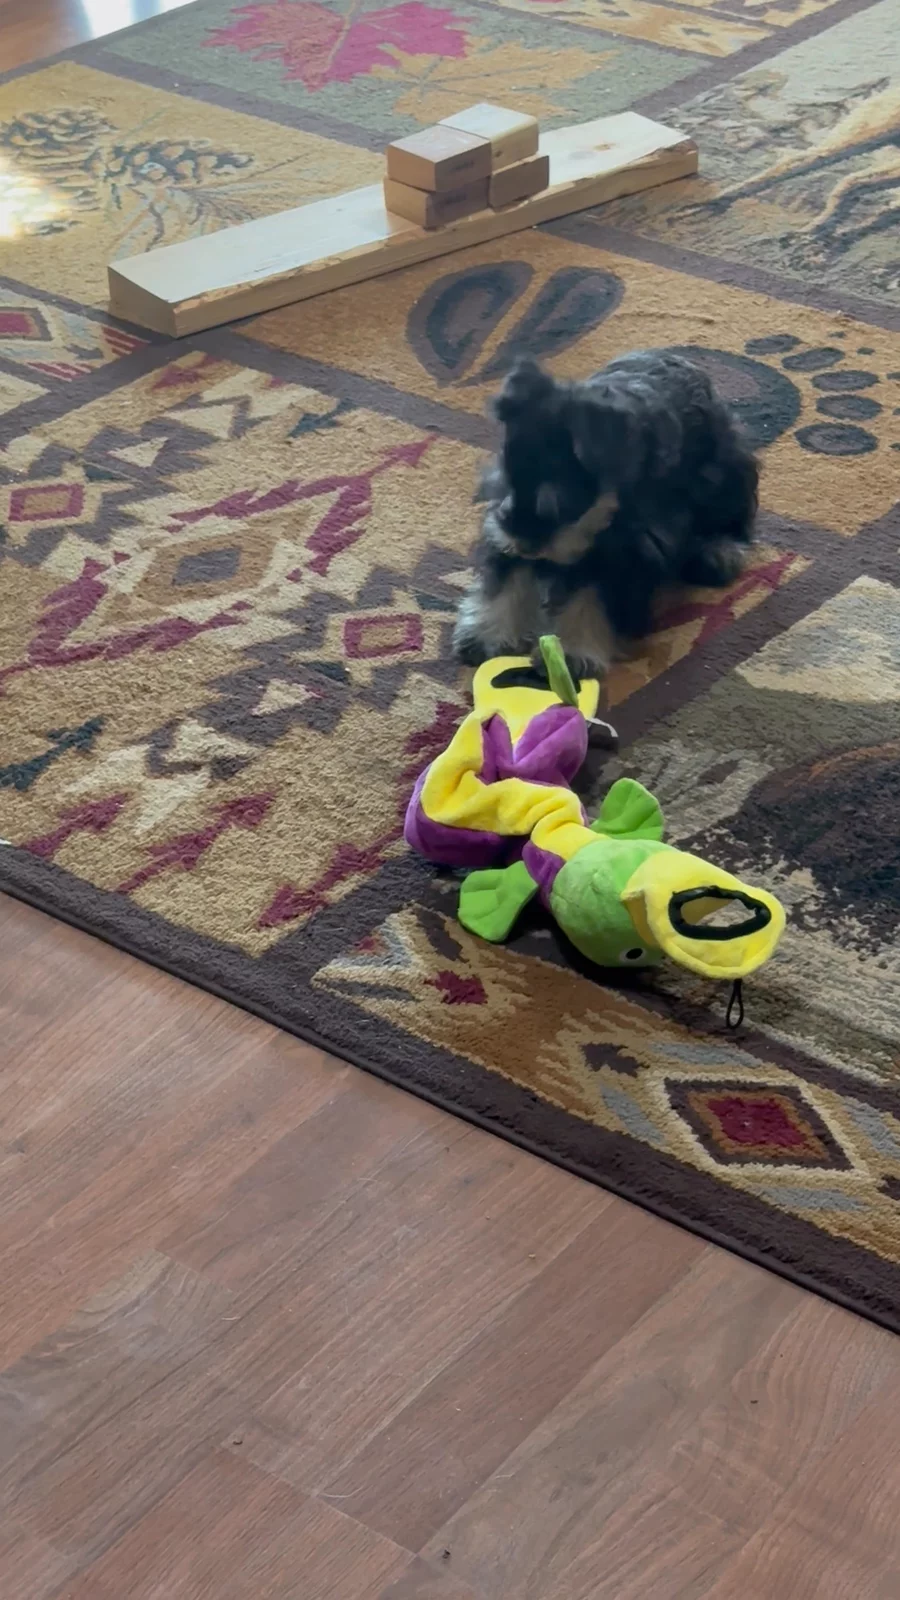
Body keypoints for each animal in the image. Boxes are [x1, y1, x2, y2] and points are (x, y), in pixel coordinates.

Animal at [453, 351, 759, 679]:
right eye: (507, 482)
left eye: (558, 500)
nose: (525, 544)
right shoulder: (503, 532)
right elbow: (506, 578)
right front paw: (486, 634)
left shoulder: (624, 555)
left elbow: (591, 600)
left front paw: (574, 653)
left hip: (725, 478)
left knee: (735, 520)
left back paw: (719, 552)